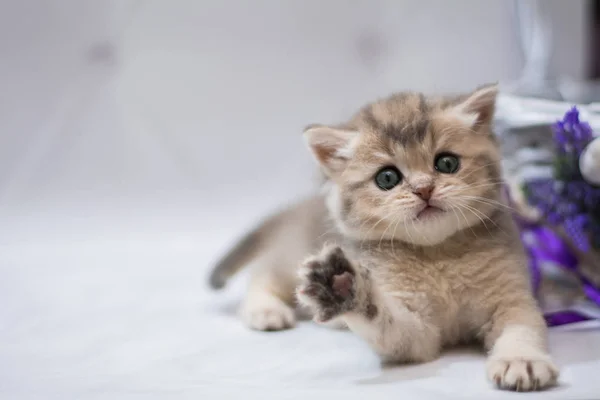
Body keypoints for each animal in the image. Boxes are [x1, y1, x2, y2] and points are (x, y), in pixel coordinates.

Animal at [211, 84, 556, 390]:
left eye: (447, 163)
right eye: (387, 178)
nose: (424, 189)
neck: (438, 256)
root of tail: (300, 206)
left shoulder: (512, 298)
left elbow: (523, 329)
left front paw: (521, 359)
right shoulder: (417, 331)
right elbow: (387, 322)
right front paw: (344, 289)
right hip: (292, 258)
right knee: (262, 274)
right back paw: (266, 311)